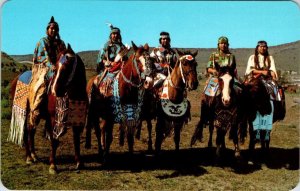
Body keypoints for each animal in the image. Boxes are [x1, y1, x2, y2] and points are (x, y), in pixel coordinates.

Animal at [7, 44, 86, 174]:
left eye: (68, 65)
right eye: (55, 67)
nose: (56, 90)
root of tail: (16, 79)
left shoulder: (77, 121)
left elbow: (76, 140)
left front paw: (79, 162)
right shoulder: (53, 119)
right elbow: (54, 141)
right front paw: (53, 166)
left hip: (34, 114)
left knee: (31, 131)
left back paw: (34, 155)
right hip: (25, 112)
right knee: (25, 132)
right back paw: (28, 157)